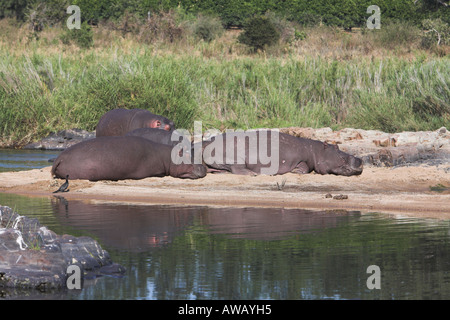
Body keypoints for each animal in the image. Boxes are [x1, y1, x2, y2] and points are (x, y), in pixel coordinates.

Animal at [199, 129, 364, 176]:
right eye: (336, 148)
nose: (360, 159)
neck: (315, 150)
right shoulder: (300, 158)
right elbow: (304, 166)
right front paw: (297, 171)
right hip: (234, 159)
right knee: (237, 168)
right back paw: (253, 174)